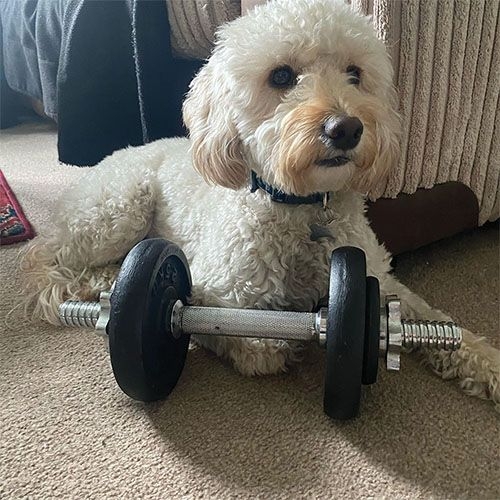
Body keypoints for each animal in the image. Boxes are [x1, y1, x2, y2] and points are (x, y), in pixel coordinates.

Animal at [23, 0, 500, 408]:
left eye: (354, 73)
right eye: (282, 76)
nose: (346, 128)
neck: (304, 207)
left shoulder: (378, 281)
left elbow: (431, 317)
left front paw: (484, 360)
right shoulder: (212, 286)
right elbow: (227, 331)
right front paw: (262, 341)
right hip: (119, 209)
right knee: (48, 260)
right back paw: (99, 282)